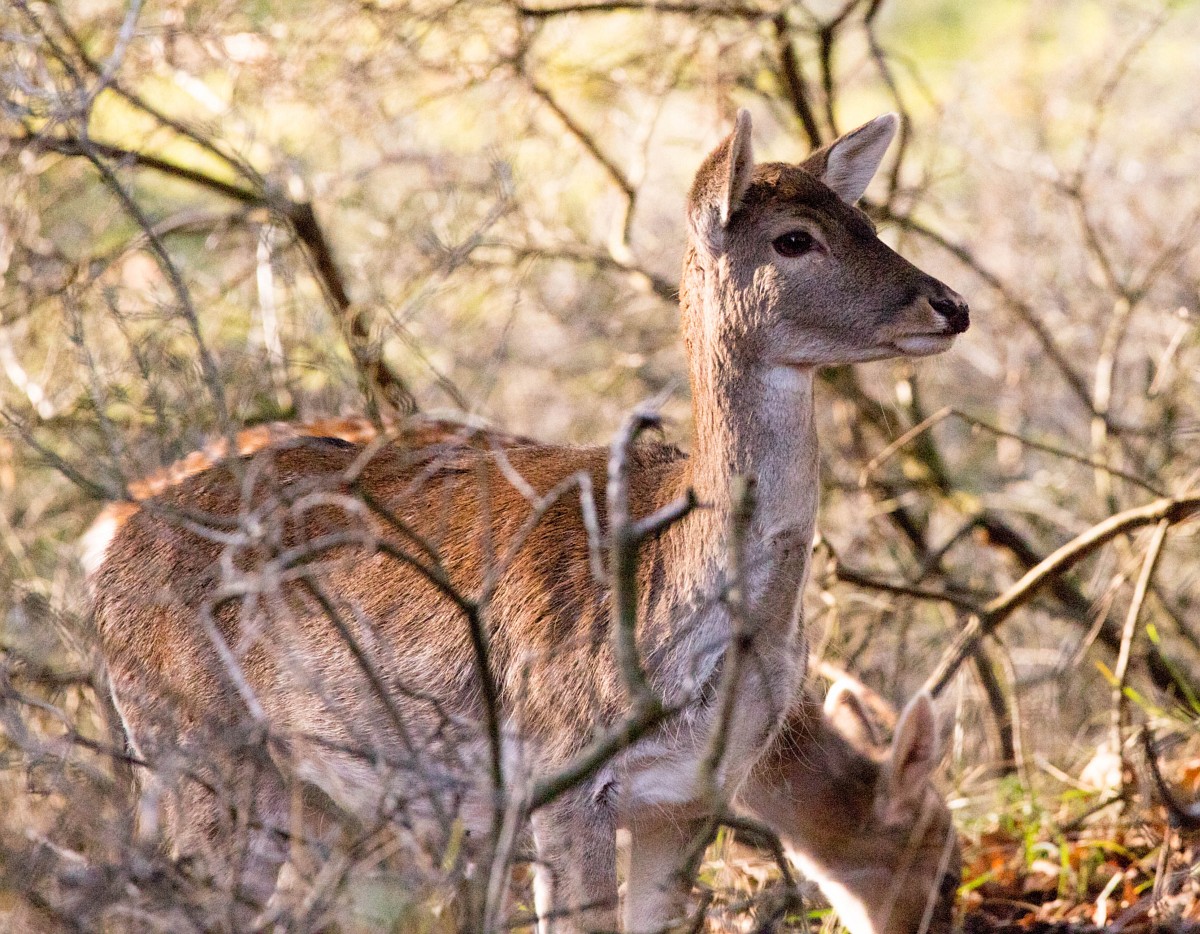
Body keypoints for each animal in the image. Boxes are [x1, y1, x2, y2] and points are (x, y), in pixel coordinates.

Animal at [85, 109, 969, 933]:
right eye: (794, 238)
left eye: (867, 220)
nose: (951, 304)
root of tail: (101, 559)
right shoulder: (562, 775)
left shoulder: (684, 801)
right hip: (194, 746)